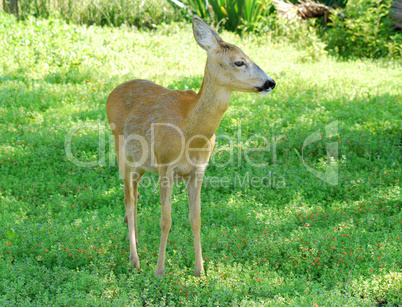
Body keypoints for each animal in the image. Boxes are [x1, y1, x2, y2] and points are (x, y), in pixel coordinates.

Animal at [106, 15, 276, 280]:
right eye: (239, 62)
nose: (270, 82)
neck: (190, 133)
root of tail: (111, 93)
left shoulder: (198, 170)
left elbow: (196, 218)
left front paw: (200, 270)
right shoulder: (165, 166)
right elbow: (166, 220)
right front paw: (159, 270)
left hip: (142, 164)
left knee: (134, 197)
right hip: (122, 152)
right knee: (129, 200)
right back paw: (135, 260)